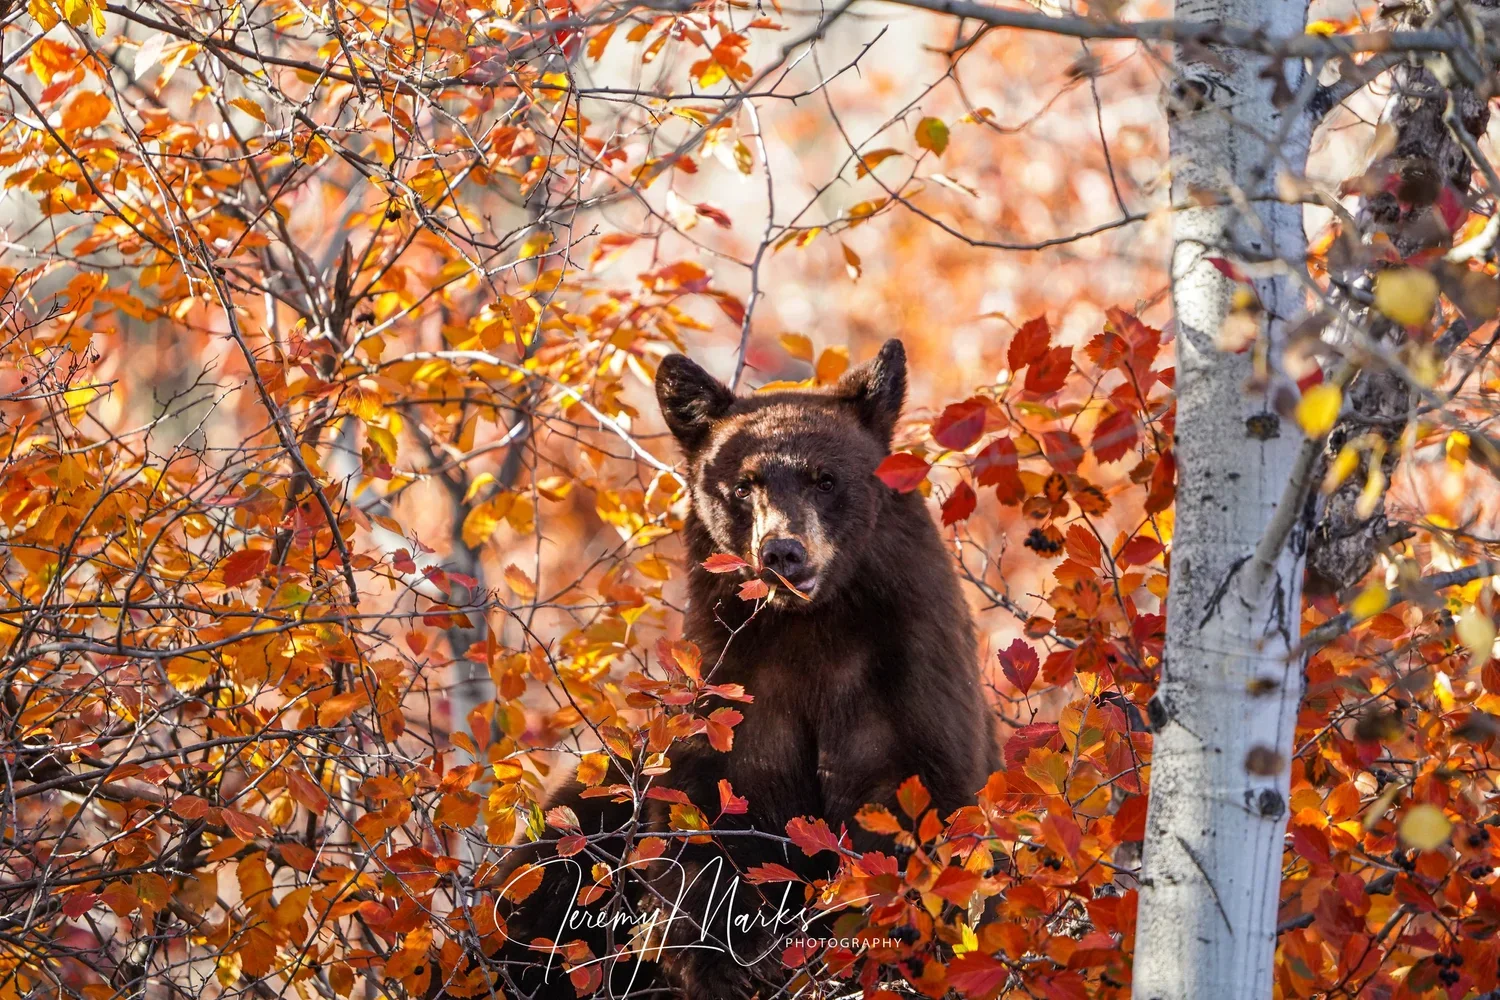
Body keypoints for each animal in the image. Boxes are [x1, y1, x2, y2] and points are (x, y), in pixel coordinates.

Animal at [482, 339, 998, 1000]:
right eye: (744, 487)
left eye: (826, 479)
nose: (782, 552)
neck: (810, 634)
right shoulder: (735, 694)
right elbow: (714, 821)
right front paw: (733, 960)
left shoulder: (907, 680)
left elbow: (913, 805)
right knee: (544, 880)